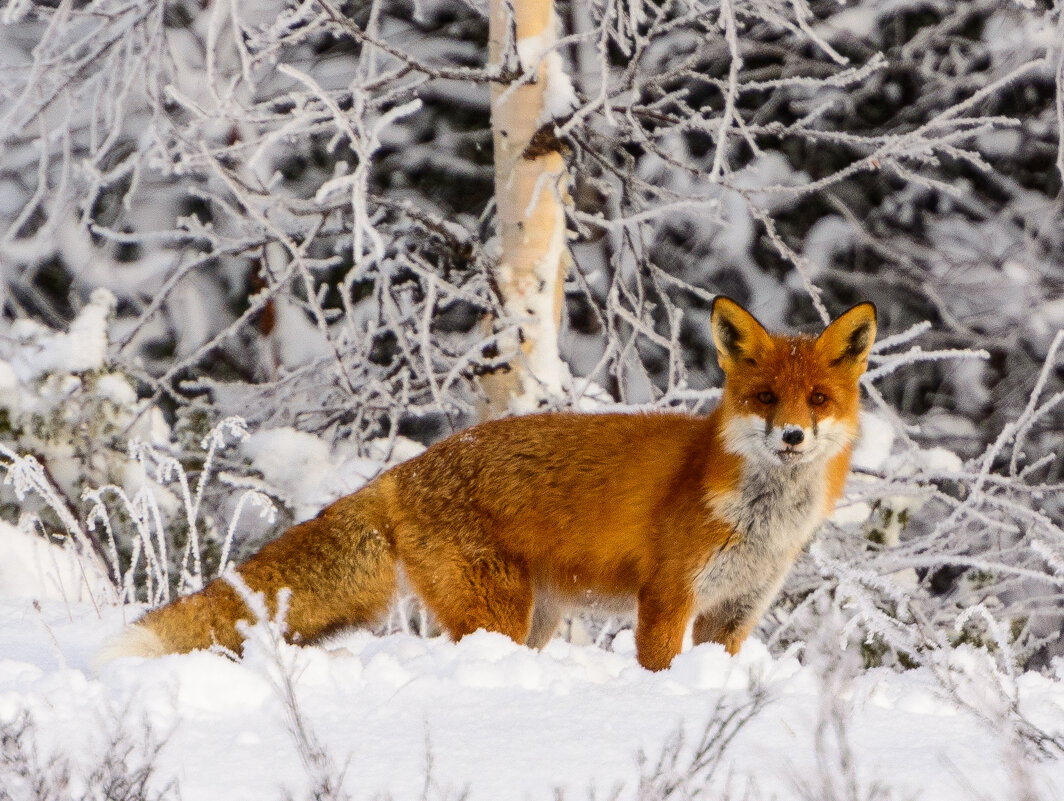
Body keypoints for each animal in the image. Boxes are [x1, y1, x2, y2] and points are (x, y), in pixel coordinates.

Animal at [103, 297, 876, 672]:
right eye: (765, 398)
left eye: (817, 400)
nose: (792, 437)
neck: (760, 519)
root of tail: (403, 470)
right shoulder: (667, 600)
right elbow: (657, 666)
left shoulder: (735, 612)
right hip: (498, 612)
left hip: (534, 618)